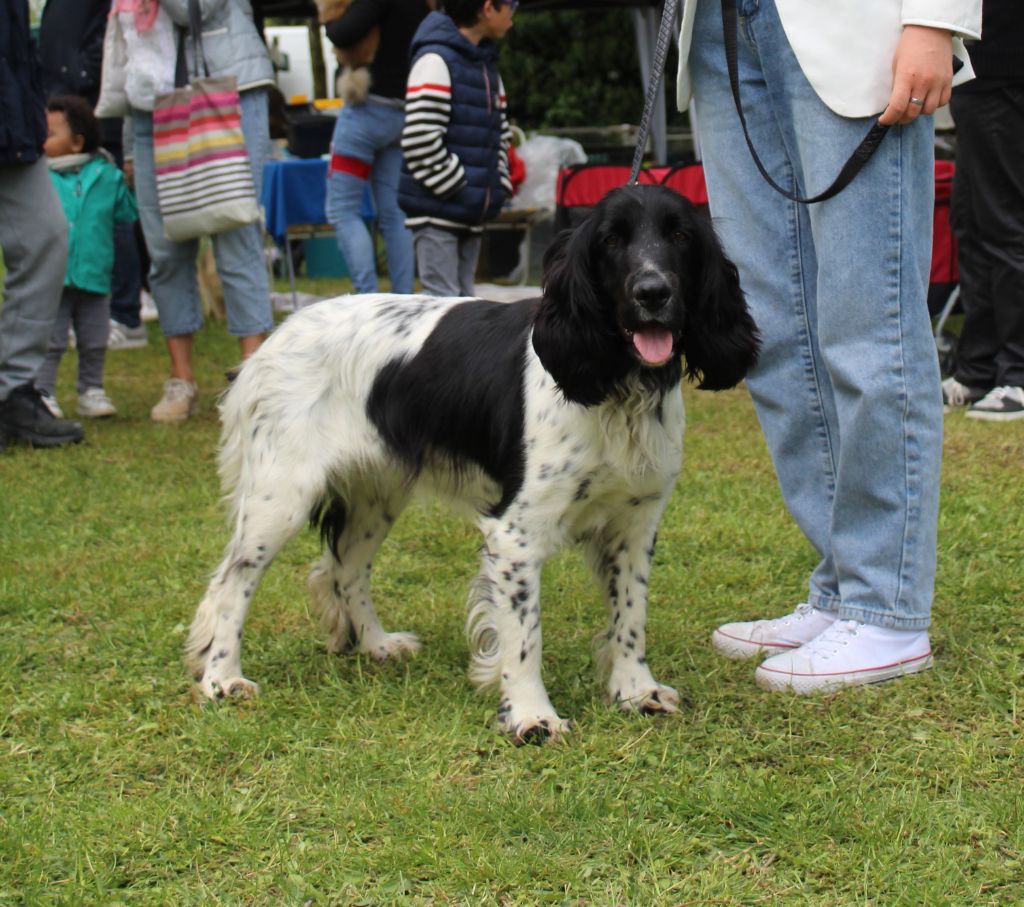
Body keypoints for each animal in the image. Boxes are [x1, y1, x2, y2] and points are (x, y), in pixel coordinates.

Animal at [188, 186, 757, 745]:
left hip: (377, 495)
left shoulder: (635, 524)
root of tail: (270, 344)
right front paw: (532, 716)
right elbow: (525, 635)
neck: (618, 385)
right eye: (612, 241)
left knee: (345, 568)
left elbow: (630, 615)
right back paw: (222, 678)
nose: (652, 292)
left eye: (680, 236)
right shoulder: (515, 533)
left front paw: (635, 690)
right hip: (280, 497)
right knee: (230, 585)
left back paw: (376, 644)